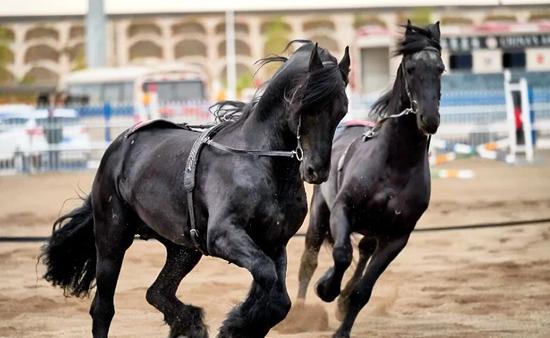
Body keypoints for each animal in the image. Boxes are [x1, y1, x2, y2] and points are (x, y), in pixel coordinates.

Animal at [41, 41, 352, 338]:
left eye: (341, 110)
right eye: (305, 104)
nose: (316, 169)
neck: (259, 159)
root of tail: (116, 148)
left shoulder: (274, 243)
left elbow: (279, 301)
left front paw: (240, 324)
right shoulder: (224, 235)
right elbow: (266, 276)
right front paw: (236, 324)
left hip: (183, 248)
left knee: (157, 291)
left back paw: (189, 323)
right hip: (112, 236)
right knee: (103, 309)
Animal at [298, 21, 444, 338]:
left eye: (440, 68)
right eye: (411, 68)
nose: (429, 119)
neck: (394, 165)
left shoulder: (396, 237)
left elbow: (363, 290)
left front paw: (342, 323)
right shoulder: (342, 209)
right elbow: (341, 254)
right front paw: (326, 287)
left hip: (373, 229)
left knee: (363, 251)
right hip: (319, 214)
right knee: (309, 260)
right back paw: (299, 313)